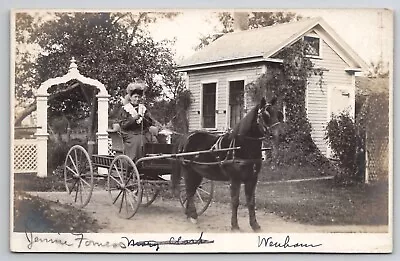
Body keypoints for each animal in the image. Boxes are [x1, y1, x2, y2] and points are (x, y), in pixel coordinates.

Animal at [171, 95, 284, 230]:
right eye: (265, 115)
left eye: (279, 114)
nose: (280, 135)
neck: (242, 146)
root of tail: (185, 137)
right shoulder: (235, 179)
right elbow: (235, 201)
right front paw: (235, 225)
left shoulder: (252, 178)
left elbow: (251, 202)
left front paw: (254, 225)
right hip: (188, 171)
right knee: (189, 191)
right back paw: (192, 215)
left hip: (197, 173)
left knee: (191, 191)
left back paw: (190, 214)